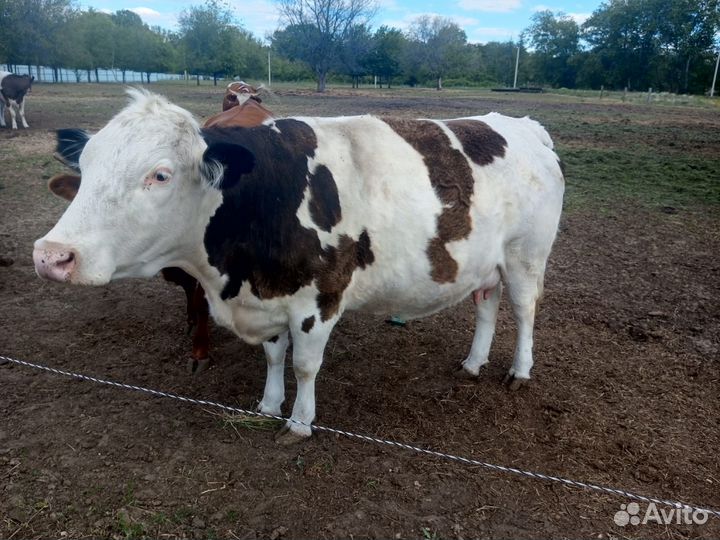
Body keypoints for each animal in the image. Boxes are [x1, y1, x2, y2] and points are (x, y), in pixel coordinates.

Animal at [33, 90, 564, 444]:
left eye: (160, 175)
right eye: (88, 166)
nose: (52, 254)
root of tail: (523, 125)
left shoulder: (320, 298)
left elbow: (306, 365)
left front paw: (299, 422)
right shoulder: (269, 295)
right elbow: (273, 357)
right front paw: (269, 404)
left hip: (526, 256)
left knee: (524, 312)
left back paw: (519, 370)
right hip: (486, 263)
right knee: (487, 306)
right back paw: (473, 362)